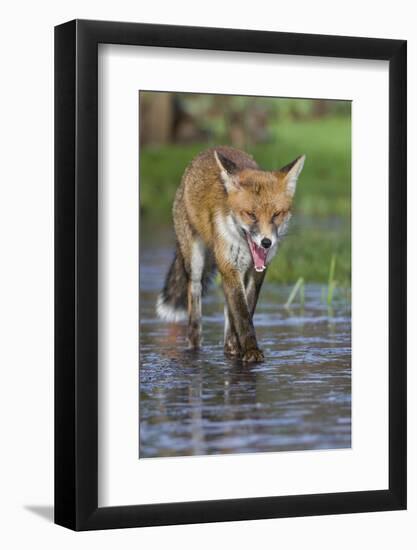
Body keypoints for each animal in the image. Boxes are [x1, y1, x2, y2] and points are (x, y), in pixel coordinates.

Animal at [156, 146, 306, 362]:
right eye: (251, 214)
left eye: (276, 214)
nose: (266, 243)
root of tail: (211, 149)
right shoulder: (229, 266)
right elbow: (242, 314)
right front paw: (251, 350)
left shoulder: (257, 272)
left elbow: (246, 308)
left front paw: (240, 345)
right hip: (196, 263)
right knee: (195, 306)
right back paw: (195, 346)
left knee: (228, 308)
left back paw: (231, 347)